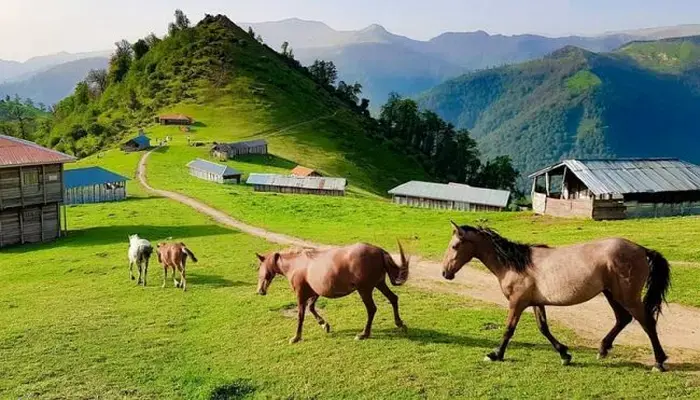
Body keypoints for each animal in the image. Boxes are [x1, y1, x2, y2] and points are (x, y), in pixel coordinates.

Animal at [256, 242, 410, 342]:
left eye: (259, 268)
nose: (260, 291)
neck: (297, 264)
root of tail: (379, 251)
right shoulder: (315, 292)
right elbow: (311, 308)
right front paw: (325, 325)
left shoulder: (301, 294)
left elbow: (301, 315)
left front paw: (296, 337)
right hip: (379, 284)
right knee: (393, 298)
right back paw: (400, 324)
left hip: (365, 290)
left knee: (372, 309)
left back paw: (363, 334)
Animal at [442, 222, 672, 372]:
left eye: (454, 246)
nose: (445, 273)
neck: (516, 265)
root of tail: (642, 250)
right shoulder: (536, 303)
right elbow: (544, 328)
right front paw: (565, 354)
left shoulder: (517, 303)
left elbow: (509, 329)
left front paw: (495, 355)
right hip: (611, 294)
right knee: (623, 319)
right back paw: (602, 350)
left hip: (627, 296)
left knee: (647, 323)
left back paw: (659, 362)